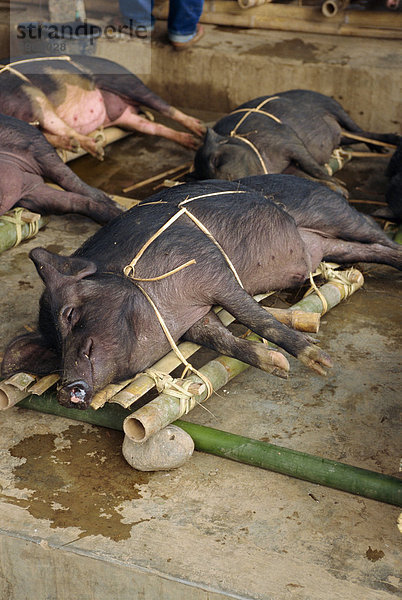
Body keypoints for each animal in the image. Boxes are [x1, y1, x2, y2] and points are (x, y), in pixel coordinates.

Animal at [0, 54, 203, 158]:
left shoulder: (30, 96)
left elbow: (56, 126)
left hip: (128, 83)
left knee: (166, 108)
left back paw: (200, 131)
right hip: (125, 117)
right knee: (152, 127)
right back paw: (193, 142)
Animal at [1, 173, 400, 408]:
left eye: (69, 314)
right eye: (54, 348)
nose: (64, 390)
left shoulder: (213, 273)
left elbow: (255, 317)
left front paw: (320, 363)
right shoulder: (194, 320)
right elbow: (224, 341)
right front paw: (277, 366)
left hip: (335, 213)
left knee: (375, 232)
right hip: (334, 245)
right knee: (371, 251)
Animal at [193, 88, 400, 188]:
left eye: (216, 161)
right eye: (199, 177)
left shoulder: (288, 141)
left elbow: (312, 166)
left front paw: (340, 185)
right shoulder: (287, 168)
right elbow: (304, 177)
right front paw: (340, 190)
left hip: (336, 108)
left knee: (360, 130)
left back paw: (388, 144)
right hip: (341, 136)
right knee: (355, 136)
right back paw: (381, 148)